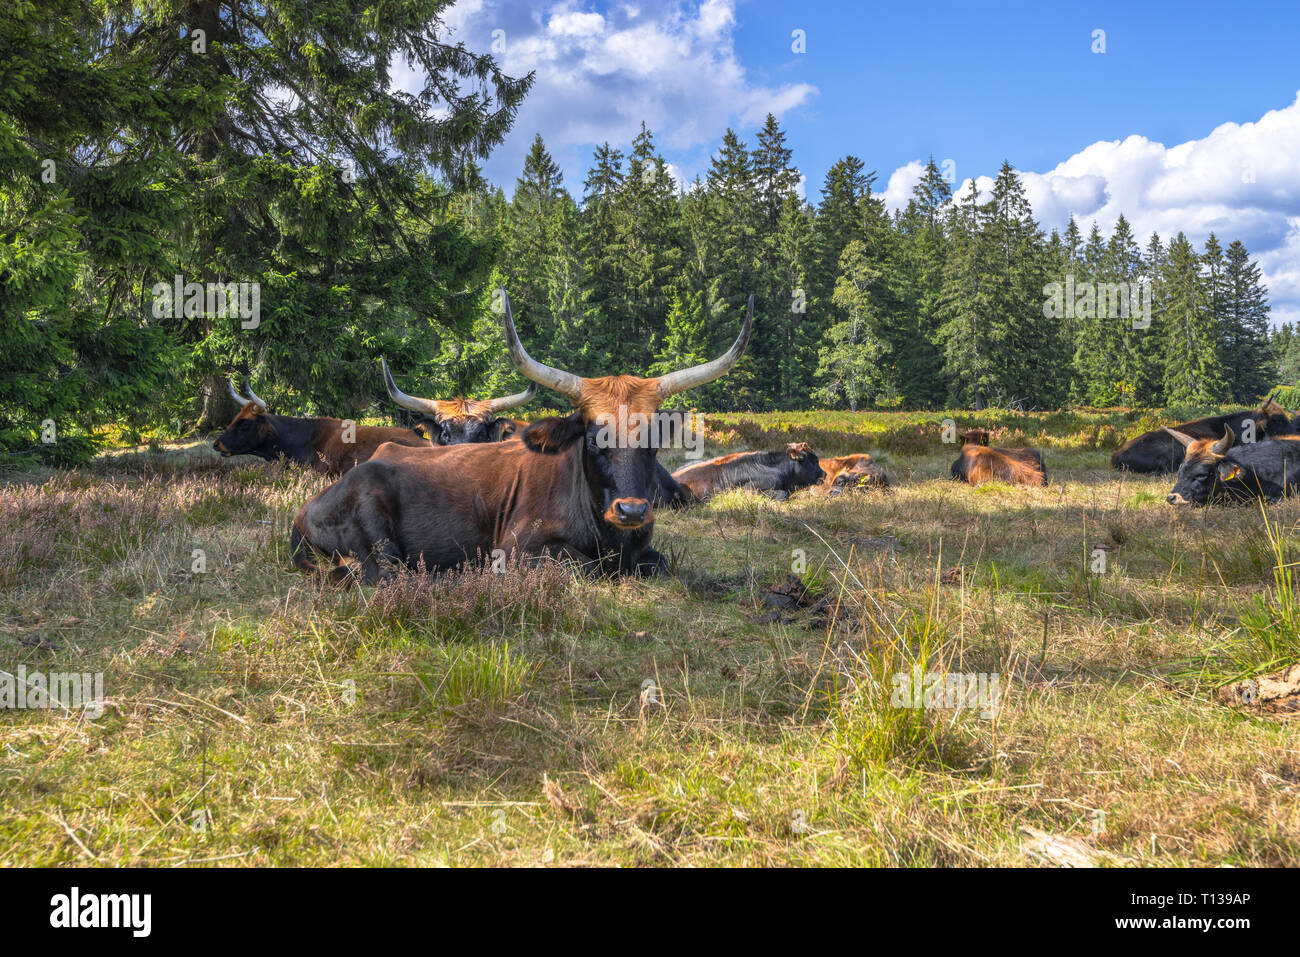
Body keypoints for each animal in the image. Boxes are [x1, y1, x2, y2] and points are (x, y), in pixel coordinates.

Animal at [284, 289, 754, 582]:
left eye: (654, 441)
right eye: (592, 438)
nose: (633, 511)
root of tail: (305, 510)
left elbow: (660, 563)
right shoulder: (518, 551)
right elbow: (580, 568)